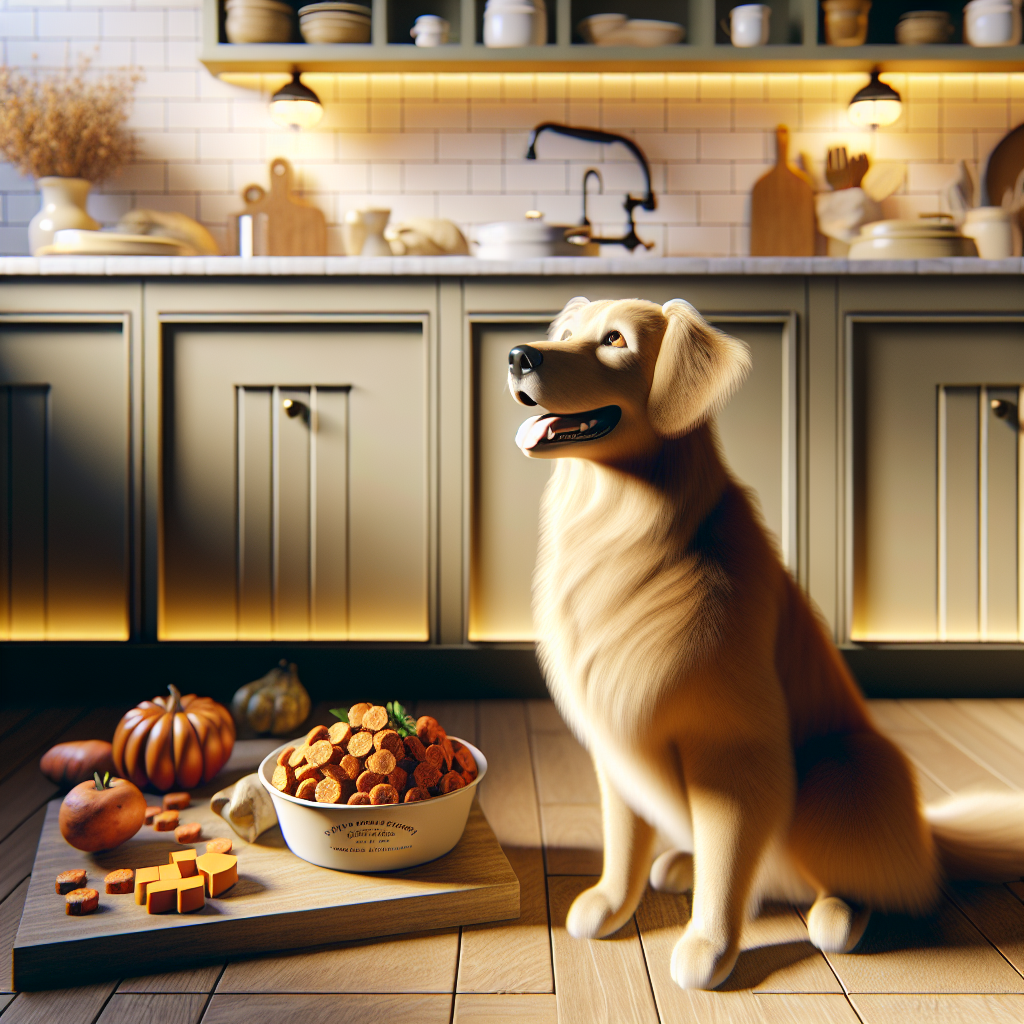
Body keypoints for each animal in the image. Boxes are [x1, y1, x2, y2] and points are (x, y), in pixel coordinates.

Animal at [505, 296, 1024, 991]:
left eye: (614, 341)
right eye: (564, 334)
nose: (517, 356)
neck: (627, 526)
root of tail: (929, 843)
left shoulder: (732, 748)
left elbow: (729, 853)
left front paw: (709, 947)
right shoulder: (617, 736)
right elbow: (625, 832)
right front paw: (611, 902)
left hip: (843, 769)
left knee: (870, 887)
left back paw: (838, 915)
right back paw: (682, 865)